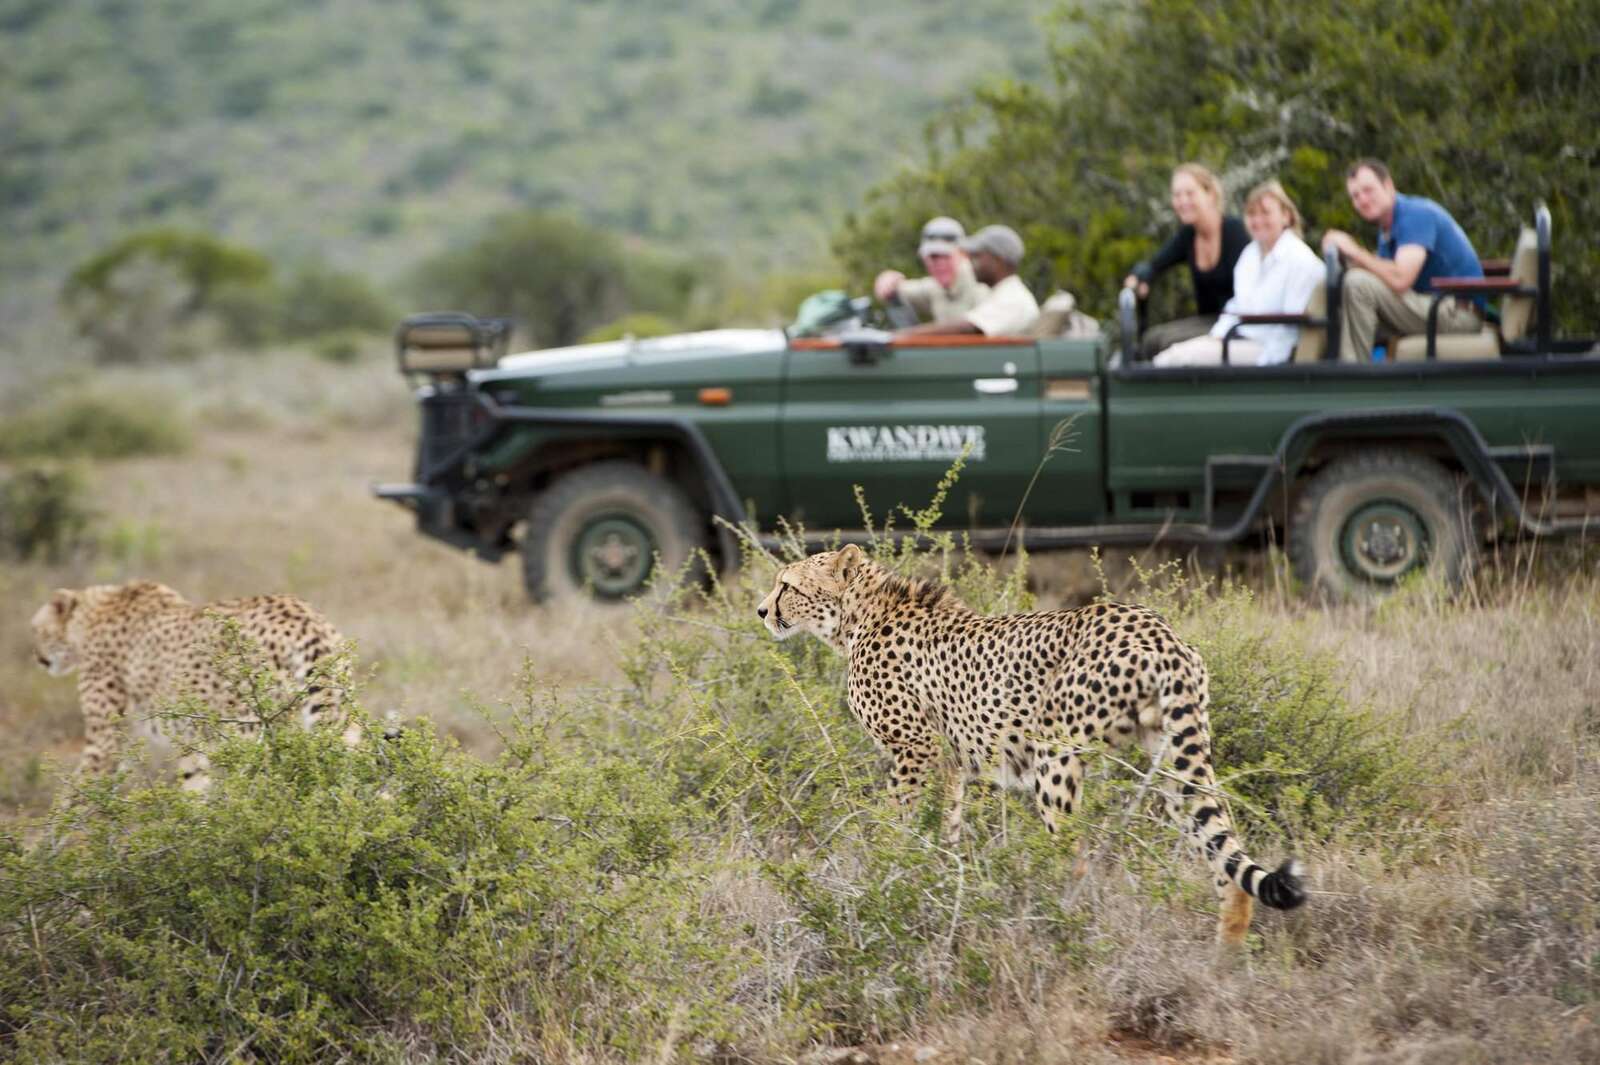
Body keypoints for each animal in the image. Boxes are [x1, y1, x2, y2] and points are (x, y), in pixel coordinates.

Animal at [30, 582, 356, 786]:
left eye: (36, 630)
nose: (37, 658)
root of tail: (301, 614)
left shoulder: (104, 743)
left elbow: (72, 800)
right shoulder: (191, 741)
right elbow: (194, 786)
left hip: (251, 731)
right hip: (340, 717)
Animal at [755, 543, 1305, 940]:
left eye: (788, 585)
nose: (761, 610)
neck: (858, 616)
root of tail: (1155, 627)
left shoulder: (915, 750)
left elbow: (898, 824)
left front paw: (884, 874)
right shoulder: (950, 764)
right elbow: (947, 833)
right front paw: (934, 882)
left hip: (1054, 755)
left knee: (1073, 855)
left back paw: (1049, 921)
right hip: (1173, 754)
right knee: (1224, 857)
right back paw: (1224, 967)